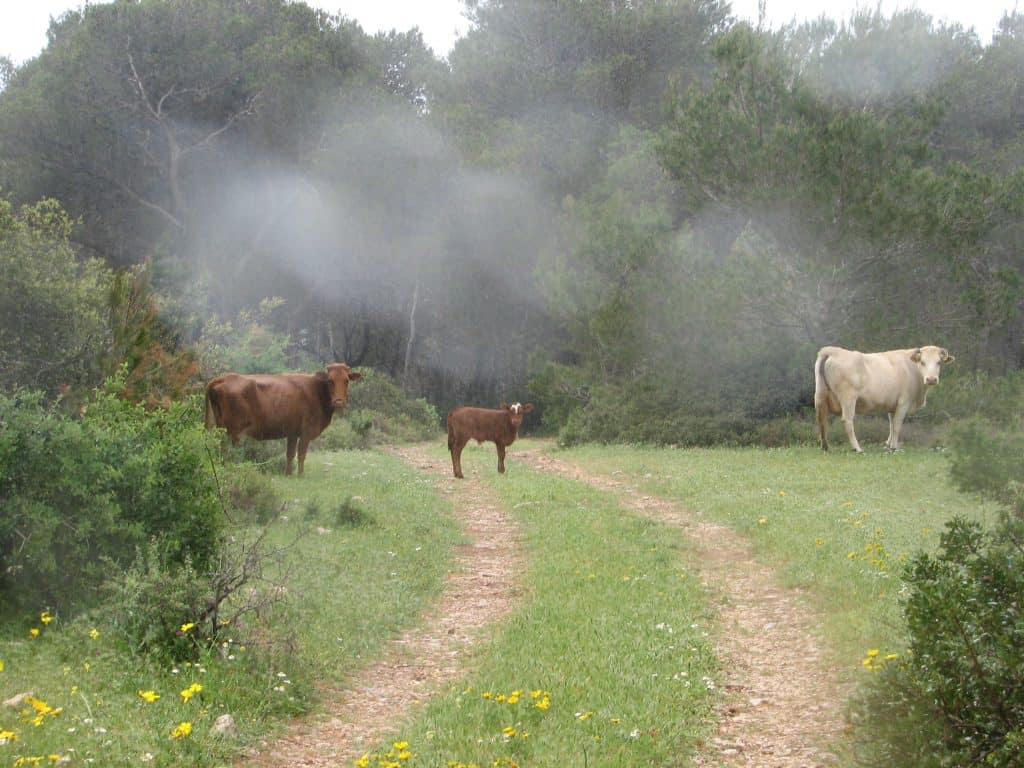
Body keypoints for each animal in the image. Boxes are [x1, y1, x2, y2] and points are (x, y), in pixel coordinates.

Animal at [201, 364, 362, 475]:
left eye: (347, 380)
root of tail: (222, 378)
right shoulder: (306, 432)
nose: (339, 401)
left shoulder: (292, 433)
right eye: (330, 381)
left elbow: (290, 454)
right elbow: (301, 454)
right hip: (233, 431)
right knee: (227, 451)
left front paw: (288, 474)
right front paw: (301, 475)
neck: (317, 391)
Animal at [811, 348, 954, 454]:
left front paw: (888, 445)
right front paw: (894, 447)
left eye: (939, 362)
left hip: (820, 396)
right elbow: (897, 425)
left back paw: (825, 447)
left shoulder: (892, 405)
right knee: (847, 421)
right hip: (848, 398)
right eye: (922, 362)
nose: (931, 379)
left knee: (821, 420)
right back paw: (857, 448)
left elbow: (891, 424)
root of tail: (832, 350)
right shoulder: (903, 403)